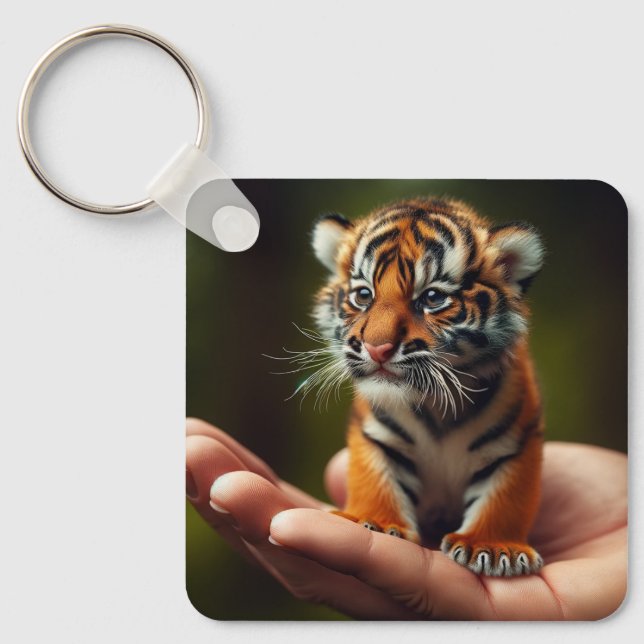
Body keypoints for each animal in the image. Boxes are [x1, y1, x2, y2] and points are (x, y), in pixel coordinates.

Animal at [309, 197, 545, 577]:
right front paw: (373, 522)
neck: (436, 405)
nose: (376, 348)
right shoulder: (375, 434)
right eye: (363, 295)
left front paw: (493, 548)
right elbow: (374, 478)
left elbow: (505, 497)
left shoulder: (517, 442)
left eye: (432, 298)